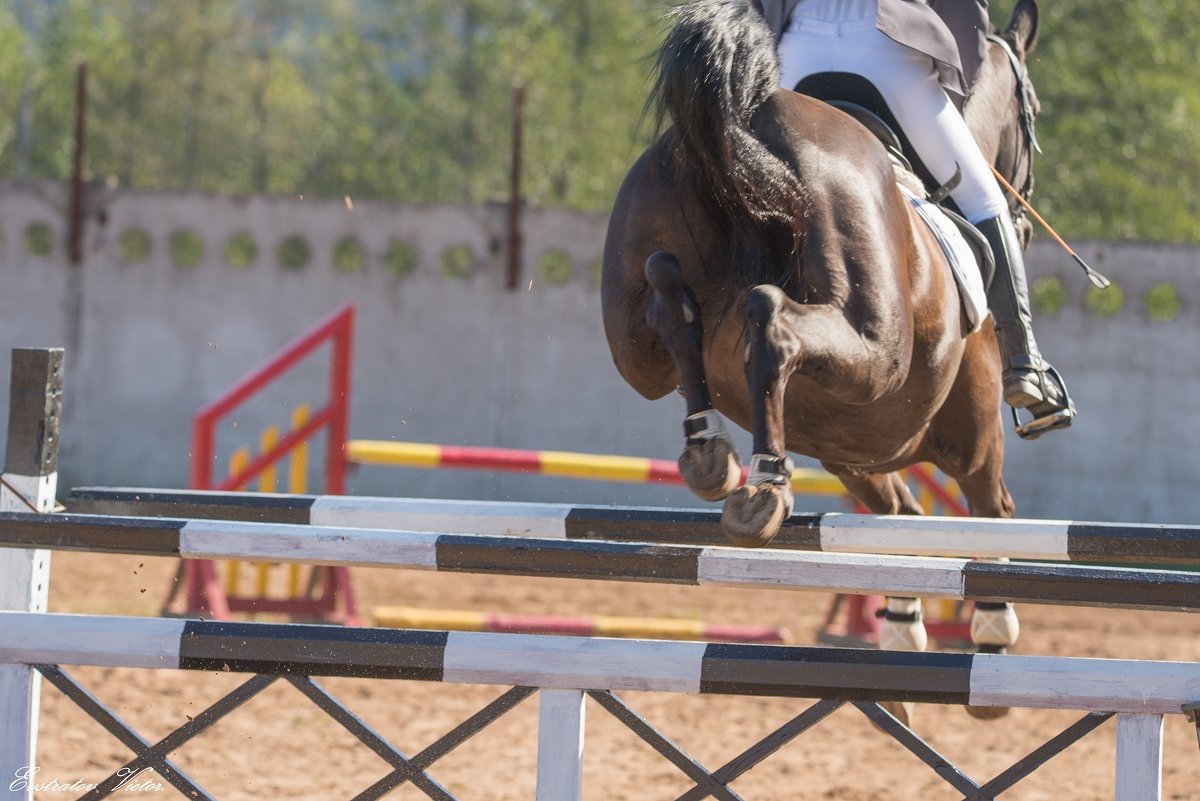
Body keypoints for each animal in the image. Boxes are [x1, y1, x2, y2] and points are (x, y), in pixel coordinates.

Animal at [604, 0, 1046, 714]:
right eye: (1030, 113)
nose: (1027, 221)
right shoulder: (972, 433)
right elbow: (990, 514)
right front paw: (993, 634)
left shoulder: (858, 453)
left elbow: (901, 521)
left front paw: (901, 631)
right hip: (875, 355)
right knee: (772, 323)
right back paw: (763, 488)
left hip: (635, 332)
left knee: (669, 297)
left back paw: (712, 454)